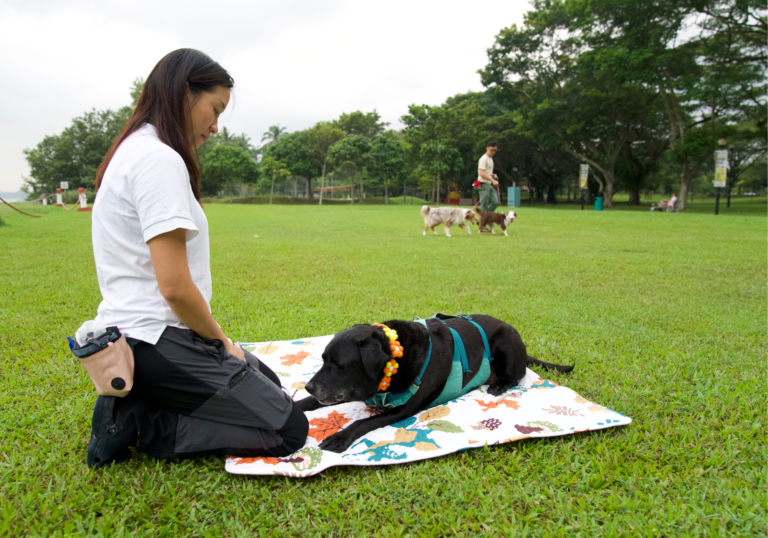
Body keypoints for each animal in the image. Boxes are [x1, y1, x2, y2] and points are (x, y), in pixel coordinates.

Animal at [296, 314, 572, 452]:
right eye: (323, 360)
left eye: (339, 365)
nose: (309, 386)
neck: (397, 357)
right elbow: (312, 402)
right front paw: (296, 404)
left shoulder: (402, 410)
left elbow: (363, 422)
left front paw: (340, 437)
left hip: (505, 342)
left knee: (516, 377)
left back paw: (499, 385)